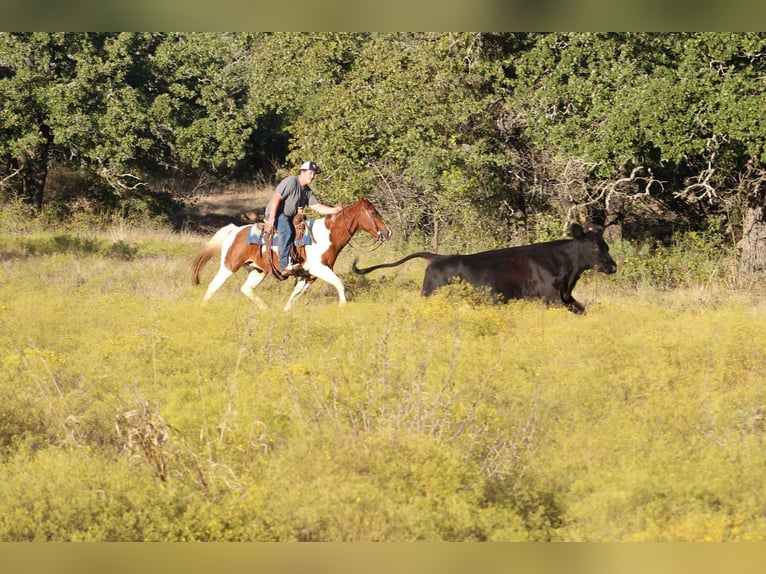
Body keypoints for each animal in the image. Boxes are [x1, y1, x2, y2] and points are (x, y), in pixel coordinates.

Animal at [190, 196, 392, 310]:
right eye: (373, 212)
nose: (388, 232)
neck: (327, 235)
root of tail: (235, 230)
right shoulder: (319, 269)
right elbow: (339, 284)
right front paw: (343, 307)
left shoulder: (309, 276)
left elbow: (295, 295)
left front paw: (285, 311)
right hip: (228, 266)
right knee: (213, 287)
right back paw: (201, 309)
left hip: (258, 271)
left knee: (246, 289)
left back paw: (265, 309)